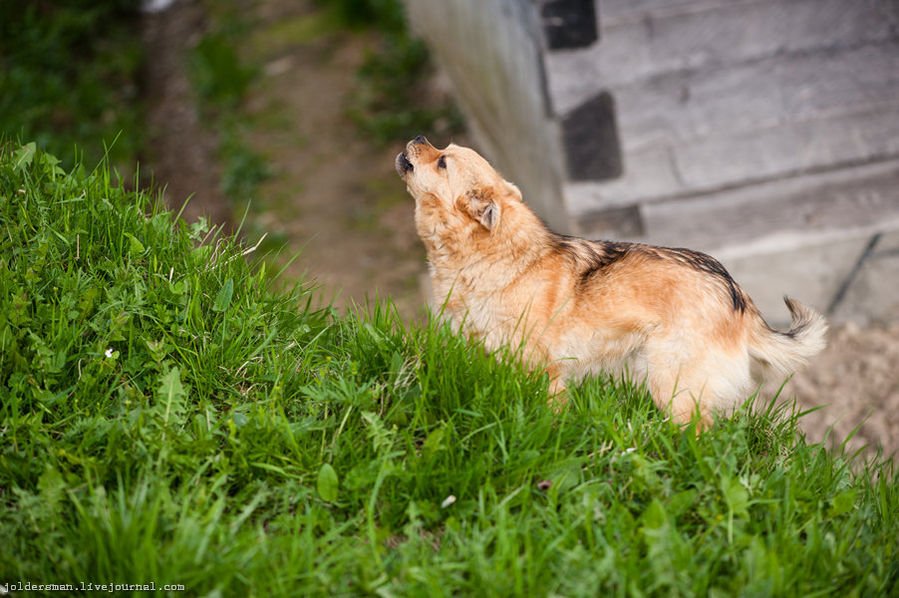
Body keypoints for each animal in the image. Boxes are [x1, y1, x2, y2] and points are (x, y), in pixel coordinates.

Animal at [396, 137, 828, 426]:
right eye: (441, 149)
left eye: (443, 162)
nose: (417, 139)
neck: (492, 254)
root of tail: (738, 296)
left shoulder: (545, 372)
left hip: (671, 384)